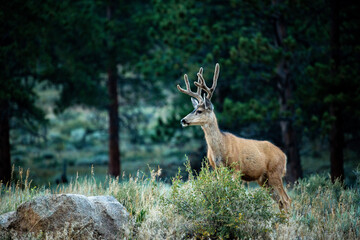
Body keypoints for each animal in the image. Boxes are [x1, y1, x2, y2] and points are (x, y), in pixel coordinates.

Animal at [177, 62, 292, 210]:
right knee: (280, 202)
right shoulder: (217, 169)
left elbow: (230, 195)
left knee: (287, 200)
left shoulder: (236, 168)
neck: (221, 148)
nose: (183, 120)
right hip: (264, 179)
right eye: (194, 109)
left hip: (275, 172)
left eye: (199, 111)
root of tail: (284, 155)